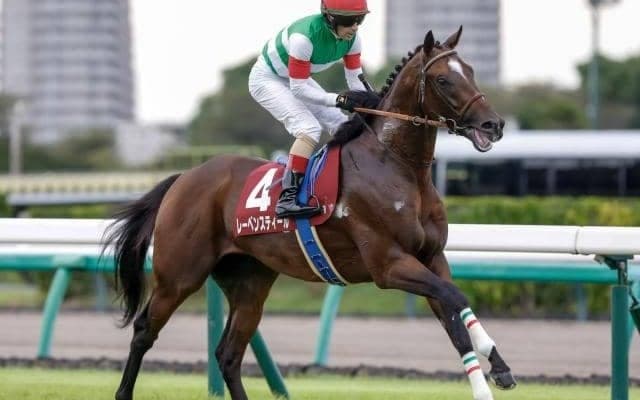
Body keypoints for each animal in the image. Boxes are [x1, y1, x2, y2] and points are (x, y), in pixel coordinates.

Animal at [105, 27, 514, 400]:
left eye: (471, 71)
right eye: (444, 79)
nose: (493, 124)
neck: (396, 166)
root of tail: (184, 177)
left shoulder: (430, 257)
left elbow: (454, 312)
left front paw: (498, 368)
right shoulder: (389, 265)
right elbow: (455, 298)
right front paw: (490, 369)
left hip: (249, 281)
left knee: (228, 354)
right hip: (180, 274)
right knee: (144, 331)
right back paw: (123, 392)